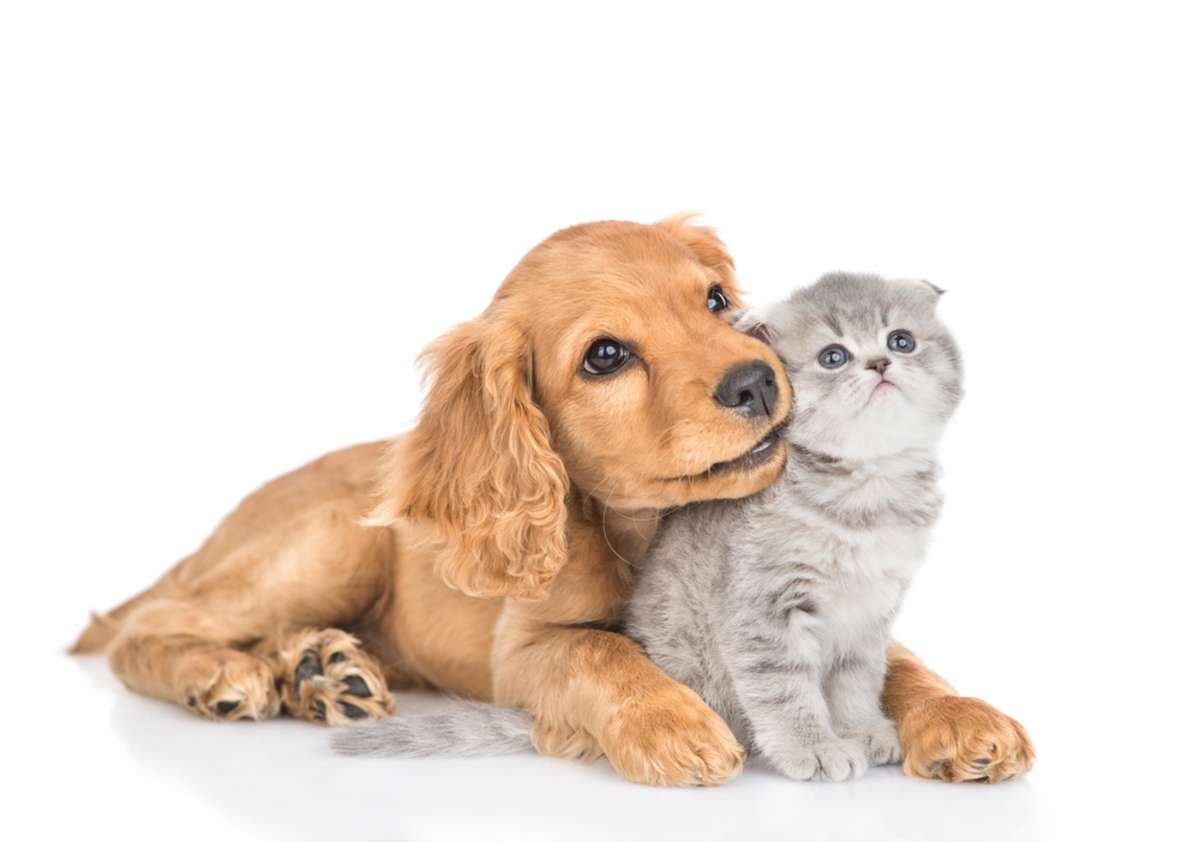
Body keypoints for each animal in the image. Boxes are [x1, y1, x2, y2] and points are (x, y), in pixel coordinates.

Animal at [331, 273, 964, 782]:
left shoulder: (868, 619)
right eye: (834, 356)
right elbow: (788, 694)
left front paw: (863, 731)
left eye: (901, 340)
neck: (866, 492)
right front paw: (815, 749)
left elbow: (856, 684)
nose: (881, 364)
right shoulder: (761, 614)